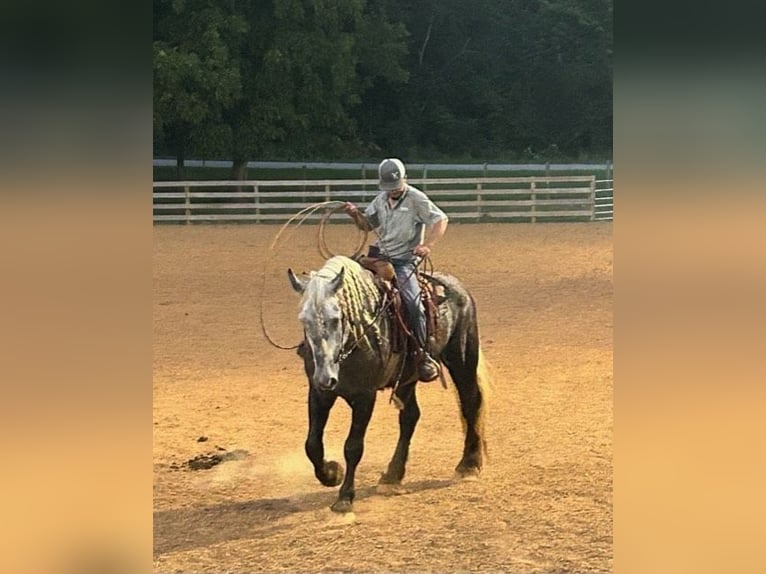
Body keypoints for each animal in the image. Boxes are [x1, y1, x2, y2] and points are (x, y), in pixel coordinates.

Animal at [288, 254, 492, 516]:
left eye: (335, 318)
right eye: (304, 320)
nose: (327, 377)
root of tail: (456, 286)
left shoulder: (365, 396)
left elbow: (353, 447)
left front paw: (345, 497)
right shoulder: (319, 392)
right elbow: (312, 444)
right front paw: (332, 474)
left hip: (462, 358)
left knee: (471, 402)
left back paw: (469, 465)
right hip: (407, 378)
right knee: (410, 417)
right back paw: (392, 476)